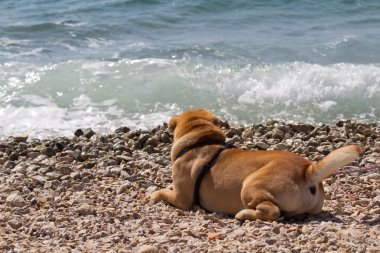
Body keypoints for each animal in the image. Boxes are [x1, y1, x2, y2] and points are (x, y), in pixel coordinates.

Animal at [151, 109, 360, 220]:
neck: (201, 138)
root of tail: (307, 170)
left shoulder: (181, 198)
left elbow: (162, 191)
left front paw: (152, 195)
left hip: (251, 185)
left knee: (272, 211)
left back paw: (244, 214)